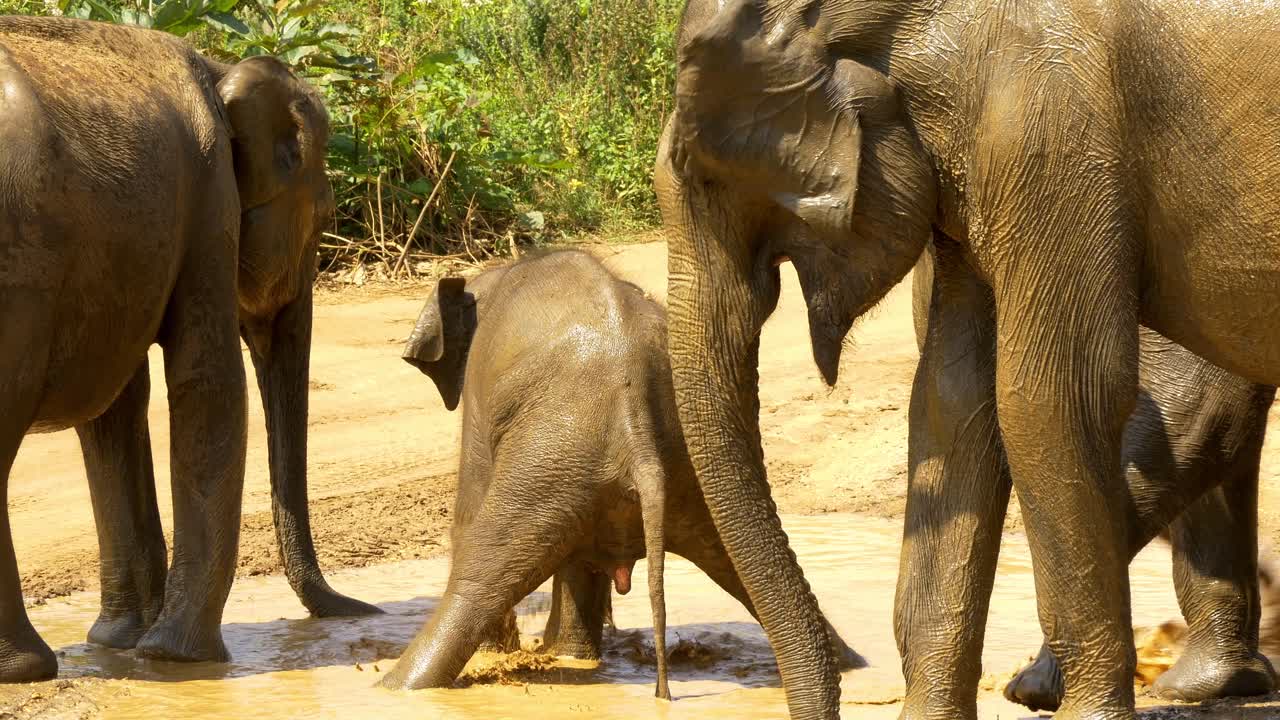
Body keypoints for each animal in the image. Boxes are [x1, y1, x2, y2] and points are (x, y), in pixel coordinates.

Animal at [0, 17, 377, 682]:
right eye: (328, 212)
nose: (367, 610)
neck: (222, 69)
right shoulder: (208, 202)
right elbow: (209, 382)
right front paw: (176, 658)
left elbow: (117, 410)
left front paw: (121, 643)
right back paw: (26, 667)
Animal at [384, 250, 862, 697]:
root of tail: (637, 434)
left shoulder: (478, 398)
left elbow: (467, 514)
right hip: (684, 476)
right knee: (738, 566)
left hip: (549, 462)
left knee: (477, 575)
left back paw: (395, 686)